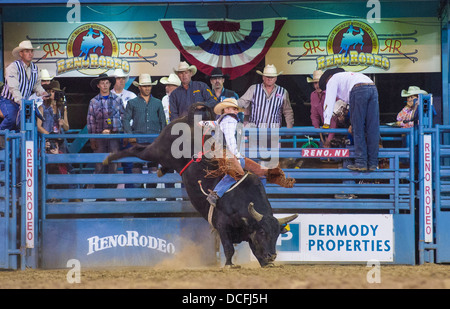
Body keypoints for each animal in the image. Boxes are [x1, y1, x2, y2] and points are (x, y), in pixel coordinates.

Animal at [103, 103, 298, 268]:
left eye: (278, 234)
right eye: (263, 232)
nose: (272, 256)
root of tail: (189, 119)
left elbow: (254, 249)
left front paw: (265, 263)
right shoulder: (222, 225)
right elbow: (229, 248)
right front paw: (229, 265)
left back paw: (159, 171)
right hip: (158, 150)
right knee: (136, 149)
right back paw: (108, 158)